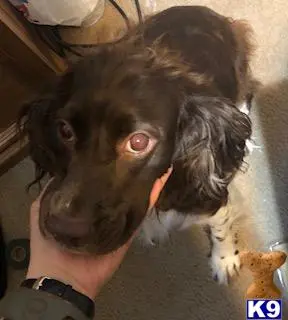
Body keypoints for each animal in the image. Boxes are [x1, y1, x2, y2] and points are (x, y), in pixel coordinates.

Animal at [19, 6, 256, 284]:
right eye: (64, 130)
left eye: (139, 142)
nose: (63, 229)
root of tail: (200, 8)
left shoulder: (207, 196)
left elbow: (221, 226)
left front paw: (225, 260)